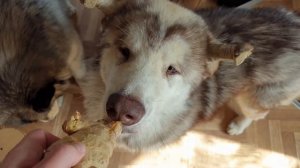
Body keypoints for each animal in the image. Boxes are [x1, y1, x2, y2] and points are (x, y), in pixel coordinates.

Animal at [79, 0, 300, 151]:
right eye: (124, 51)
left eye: (172, 69)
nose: (122, 109)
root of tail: (294, 21)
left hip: (254, 98)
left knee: (256, 113)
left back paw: (238, 125)